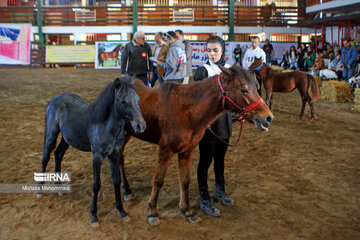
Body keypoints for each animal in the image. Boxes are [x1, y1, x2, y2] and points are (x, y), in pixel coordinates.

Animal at [38, 76, 146, 227]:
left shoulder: (114, 156)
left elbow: (116, 181)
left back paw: (59, 188)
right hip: (51, 134)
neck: (105, 126)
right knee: (45, 157)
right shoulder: (97, 157)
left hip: (66, 139)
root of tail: (55, 99)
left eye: (137, 98)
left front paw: (122, 212)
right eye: (123, 101)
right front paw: (94, 216)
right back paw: (40, 190)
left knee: (58, 155)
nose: (140, 125)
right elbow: (96, 184)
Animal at [119, 64, 274, 226]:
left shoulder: (187, 151)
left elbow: (185, 180)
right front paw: (152, 212)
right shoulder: (165, 151)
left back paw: (127, 190)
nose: (268, 117)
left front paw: (187, 211)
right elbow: (158, 181)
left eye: (255, 88)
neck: (186, 110)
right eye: (244, 90)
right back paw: (125, 191)